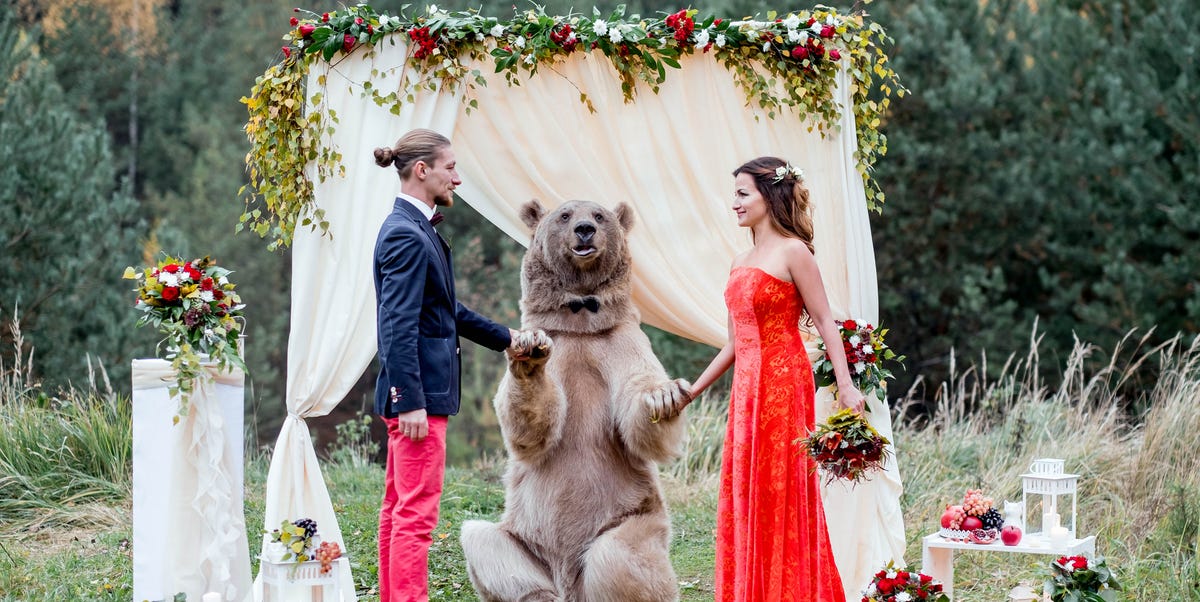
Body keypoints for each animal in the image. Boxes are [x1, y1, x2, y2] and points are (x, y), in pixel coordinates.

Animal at [460, 200, 696, 599]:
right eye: (565, 215)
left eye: (600, 215)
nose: (585, 230)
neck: (581, 319)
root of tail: (570, 583)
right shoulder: (557, 343)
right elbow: (530, 430)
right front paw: (528, 360)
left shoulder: (622, 342)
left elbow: (638, 411)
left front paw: (663, 397)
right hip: (523, 538)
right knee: (485, 543)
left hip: (633, 513)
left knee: (618, 555)